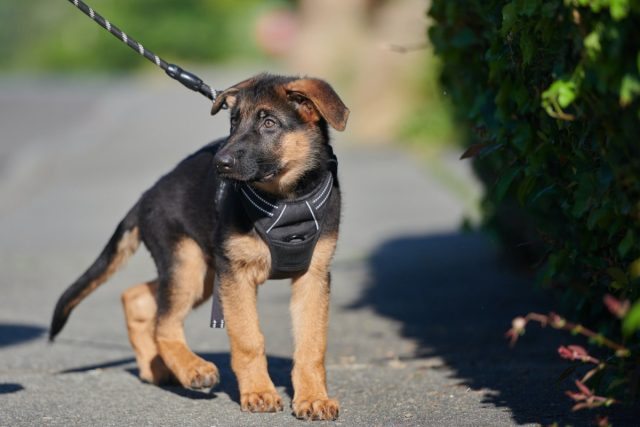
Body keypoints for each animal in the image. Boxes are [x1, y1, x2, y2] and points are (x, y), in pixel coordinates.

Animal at [50, 74, 350, 422]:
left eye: (270, 123)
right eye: (233, 122)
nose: (221, 162)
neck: (286, 199)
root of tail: (145, 197)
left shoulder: (313, 276)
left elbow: (311, 344)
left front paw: (313, 397)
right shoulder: (236, 274)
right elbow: (248, 339)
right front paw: (259, 392)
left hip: (202, 272)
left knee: (138, 298)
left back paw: (155, 367)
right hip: (190, 266)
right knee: (164, 323)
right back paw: (193, 368)